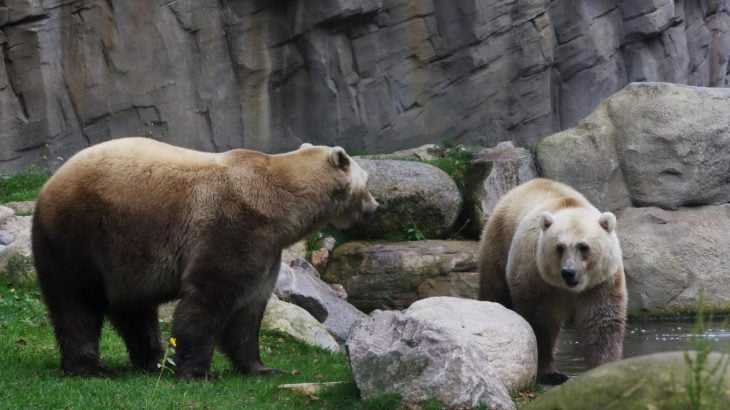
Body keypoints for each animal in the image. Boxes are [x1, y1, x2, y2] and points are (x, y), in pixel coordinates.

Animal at [31, 137, 378, 378]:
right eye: (368, 181)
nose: (374, 207)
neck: (281, 202)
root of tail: (50, 182)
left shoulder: (267, 247)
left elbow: (249, 309)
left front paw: (262, 368)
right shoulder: (234, 226)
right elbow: (210, 295)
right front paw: (195, 371)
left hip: (124, 253)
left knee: (134, 308)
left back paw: (154, 360)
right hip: (79, 232)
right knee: (77, 301)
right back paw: (91, 367)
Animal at [478, 179, 624, 384]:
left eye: (583, 247)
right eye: (559, 247)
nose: (569, 272)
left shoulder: (602, 281)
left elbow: (602, 322)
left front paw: (604, 369)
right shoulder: (535, 275)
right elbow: (541, 324)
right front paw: (550, 374)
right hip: (498, 242)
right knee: (495, 289)